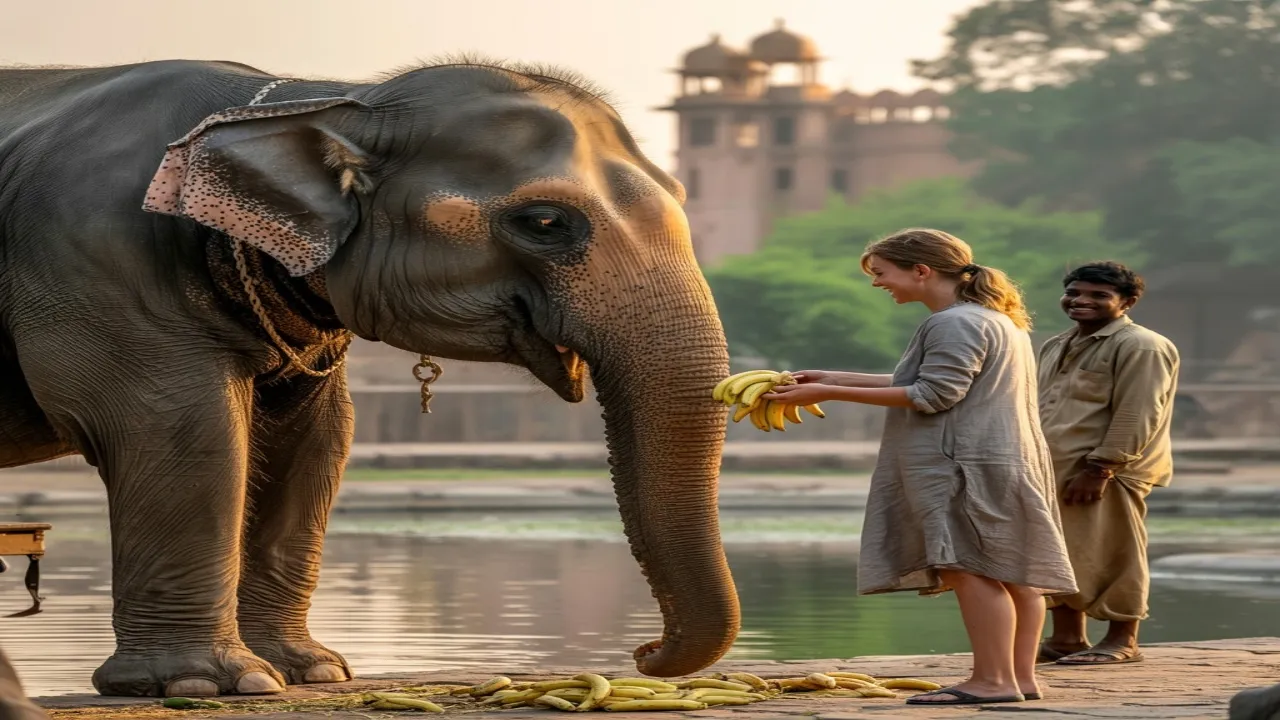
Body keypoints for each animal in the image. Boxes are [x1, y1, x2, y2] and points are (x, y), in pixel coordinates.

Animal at [0, 58, 739, 708]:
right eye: (546, 223)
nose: (642, 652)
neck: (325, 98)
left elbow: (317, 439)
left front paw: (309, 673)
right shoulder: (93, 264)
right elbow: (183, 429)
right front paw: (204, 685)